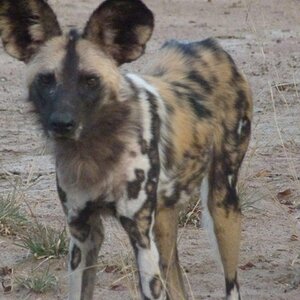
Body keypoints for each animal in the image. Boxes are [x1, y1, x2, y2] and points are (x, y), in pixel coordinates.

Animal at [0, 0, 253, 300]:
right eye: (46, 80)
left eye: (91, 80)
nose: (61, 123)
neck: (95, 151)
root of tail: (204, 44)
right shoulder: (82, 233)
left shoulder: (140, 236)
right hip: (164, 223)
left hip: (222, 205)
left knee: (231, 283)